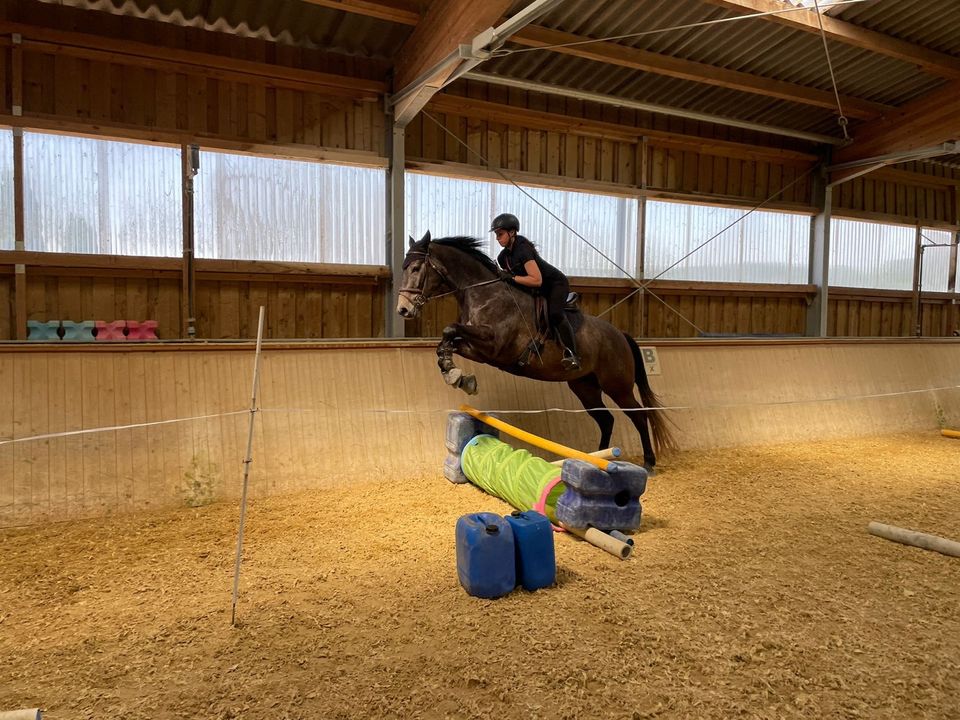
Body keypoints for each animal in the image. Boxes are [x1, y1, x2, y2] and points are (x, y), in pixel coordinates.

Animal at [398, 228, 676, 470]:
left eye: (416, 268)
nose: (403, 309)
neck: (484, 294)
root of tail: (621, 335)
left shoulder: (493, 345)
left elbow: (450, 329)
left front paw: (456, 375)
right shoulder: (478, 349)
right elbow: (447, 339)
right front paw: (457, 375)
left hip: (617, 386)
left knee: (639, 415)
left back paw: (649, 462)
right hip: (585, 386)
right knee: (606, 419)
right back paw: (595, 458)